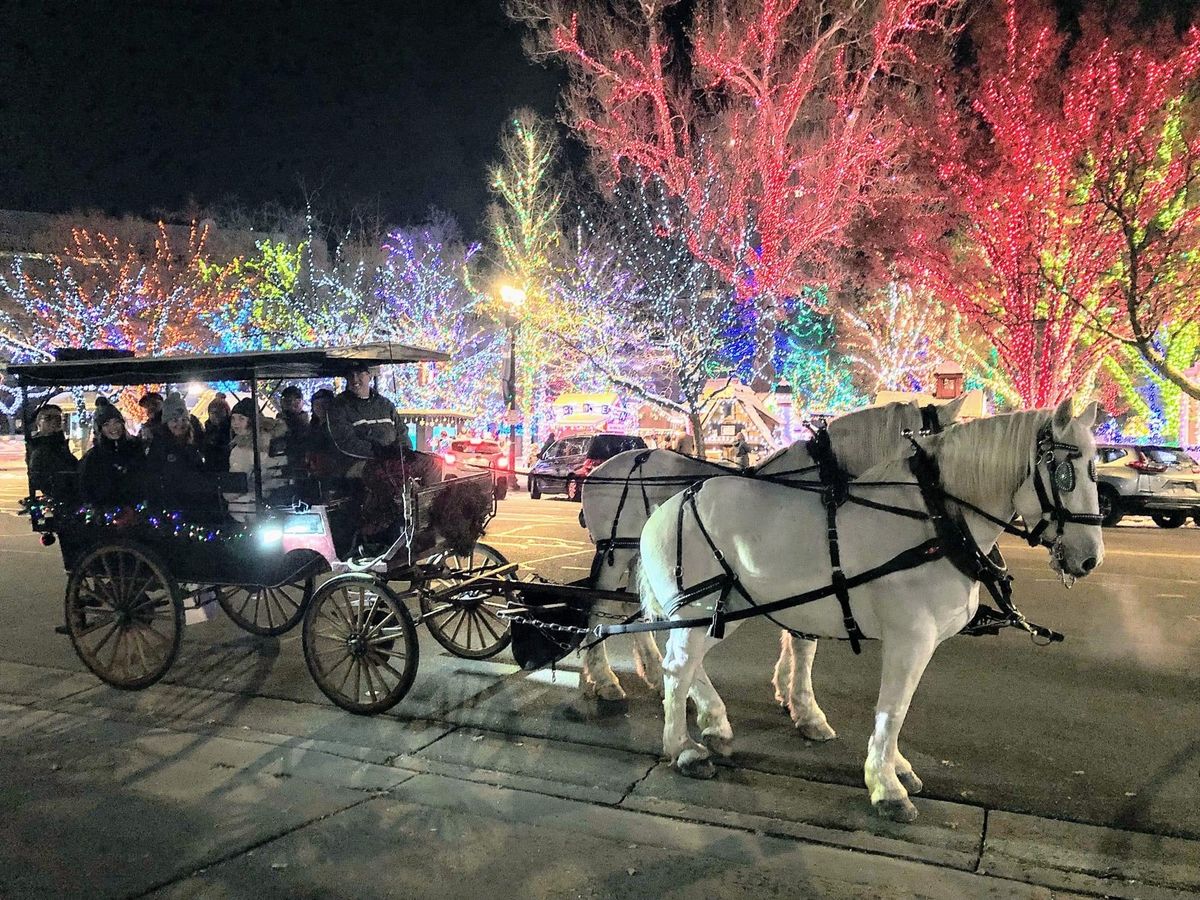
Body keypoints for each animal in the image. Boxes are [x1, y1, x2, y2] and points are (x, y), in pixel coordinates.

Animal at [578, 396, 964, 734]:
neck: (822, 481)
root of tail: (601, 470)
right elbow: (804, 645)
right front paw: (807, 711)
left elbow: (798, 639)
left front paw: (788, 694)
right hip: (615, 554)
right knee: (600, 607)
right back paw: (605, 679)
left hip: (640, 557)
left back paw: (655, 677)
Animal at [643, 400, 1099, 825]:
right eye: (1064, 473)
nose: (1089, 558)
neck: (936, 521)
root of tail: (666, 508)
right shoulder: (910, 639)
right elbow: (894, 709)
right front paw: (886, 786)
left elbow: (889, 701)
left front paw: (891, 766)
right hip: (702, 608)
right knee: (678, 669)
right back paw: (684, 749)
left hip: (719, 613)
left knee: (688, 666)